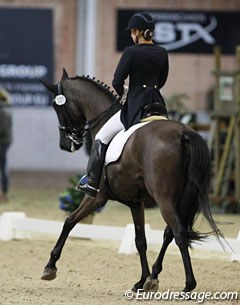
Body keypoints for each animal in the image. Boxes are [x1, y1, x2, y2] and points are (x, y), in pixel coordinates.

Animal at [40, 68, 222, 292]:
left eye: (57, 107)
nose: (65, 145)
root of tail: (184, 132)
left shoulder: (96, 197)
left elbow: (69, 221)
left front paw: (50, 267)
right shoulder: (136, 203)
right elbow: (140, 240)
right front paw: (141, 280)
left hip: (163, 198)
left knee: (179, 233)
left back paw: (188, 285)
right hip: (182, 198)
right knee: (169, 233)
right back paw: (154, 276)